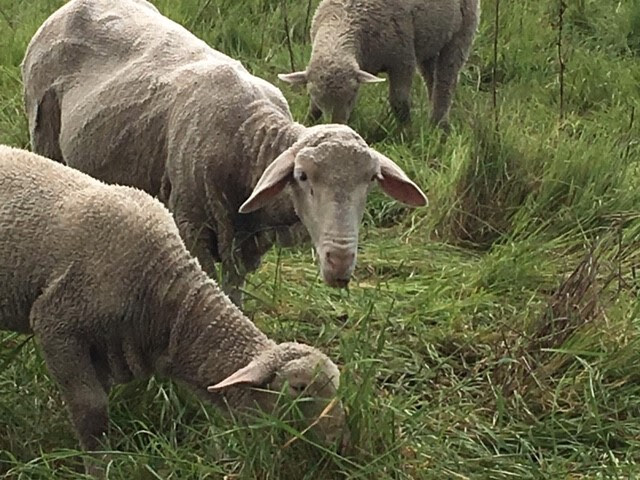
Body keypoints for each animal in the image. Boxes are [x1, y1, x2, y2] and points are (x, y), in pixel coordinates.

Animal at [21, 0, 428, 307]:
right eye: (302, 176)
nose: (340, 262)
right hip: (43, 132)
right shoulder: (191, 224)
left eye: (371, 181)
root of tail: (73, 5)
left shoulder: (246, 240)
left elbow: (234, 290)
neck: (248, 138)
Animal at [278, 0, 481, 128]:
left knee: (447, 80)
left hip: (463, 29)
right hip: (430, 39)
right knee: (432, 78)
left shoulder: (402, 60)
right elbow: (313, 110)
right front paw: (307, 124)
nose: (337, 126)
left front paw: (407, 133)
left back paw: (439, 123)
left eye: (351, 97)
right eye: (316, 98)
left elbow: (399, 103)